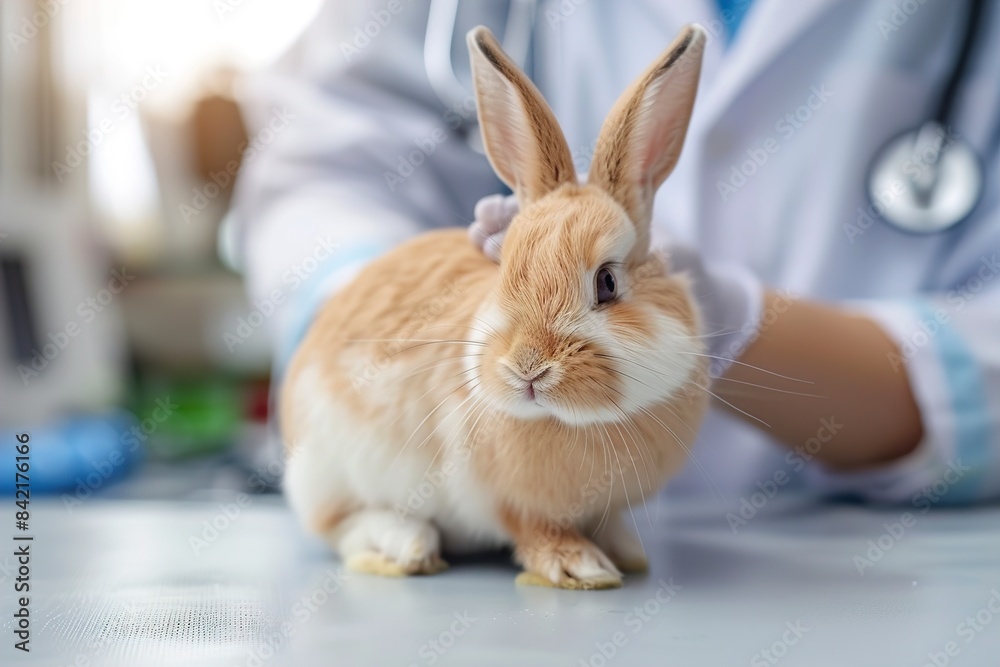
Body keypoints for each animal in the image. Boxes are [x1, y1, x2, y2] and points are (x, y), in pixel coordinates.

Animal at [284, 24, 712, 588]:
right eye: (504, 271)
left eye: (607, 282)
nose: (527, 369)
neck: (579, 421)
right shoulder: (506, 503)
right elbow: (535, 531)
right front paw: (579, 567)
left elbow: (608, 522)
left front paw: (625, 552)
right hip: (330, 470)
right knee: (343, 526)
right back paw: (408, 546)